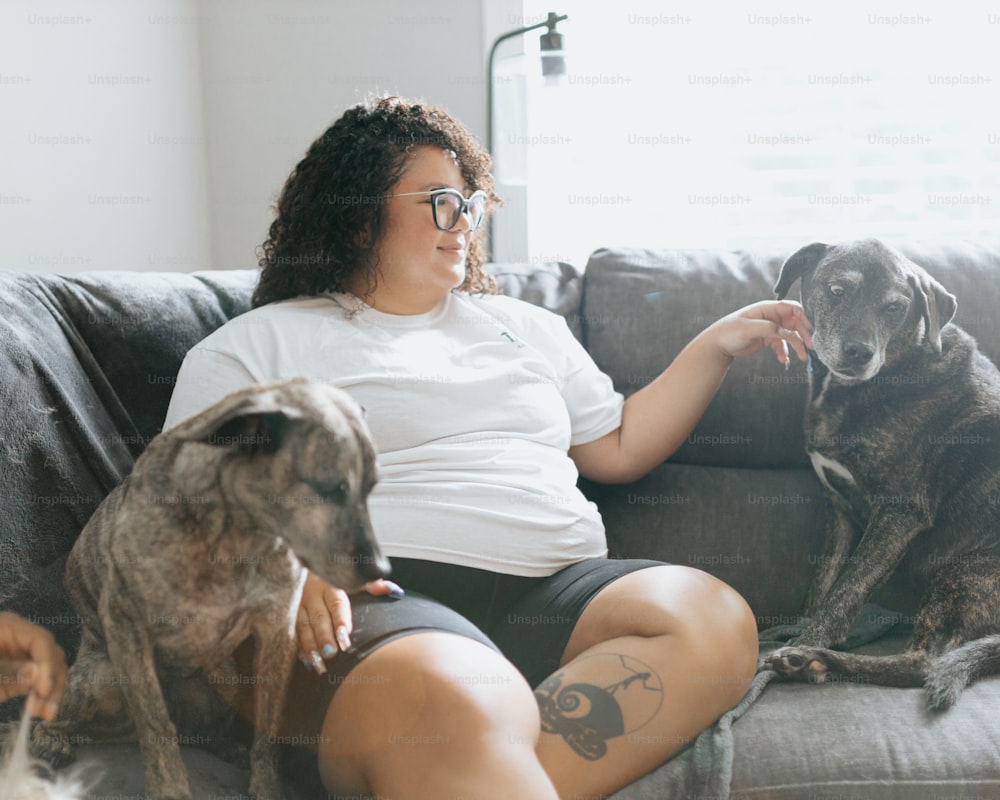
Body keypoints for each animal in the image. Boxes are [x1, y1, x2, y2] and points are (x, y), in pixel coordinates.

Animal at [29, 380, 388, 800]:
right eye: (331, 488)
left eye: (371, 489)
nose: (381, 569)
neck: (240, 537)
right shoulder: (126, 625)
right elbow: (157, 727)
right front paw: (170, 788)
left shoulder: (276, 633)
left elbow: (268, 729)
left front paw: (267, 785)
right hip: (102, 678)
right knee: (60, 721)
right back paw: (51, 744)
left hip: (224, 681)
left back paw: (228, 747)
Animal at [760, 236, 1000, 708]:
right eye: (837, 290)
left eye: (895, 308)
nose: (859, 352)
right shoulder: (838, 509)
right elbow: (823, 584)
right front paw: (800, 628)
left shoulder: (899, 515)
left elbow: (846, 591)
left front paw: (806, 643)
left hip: (967, 571)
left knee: (921, 662)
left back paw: (812, 660)